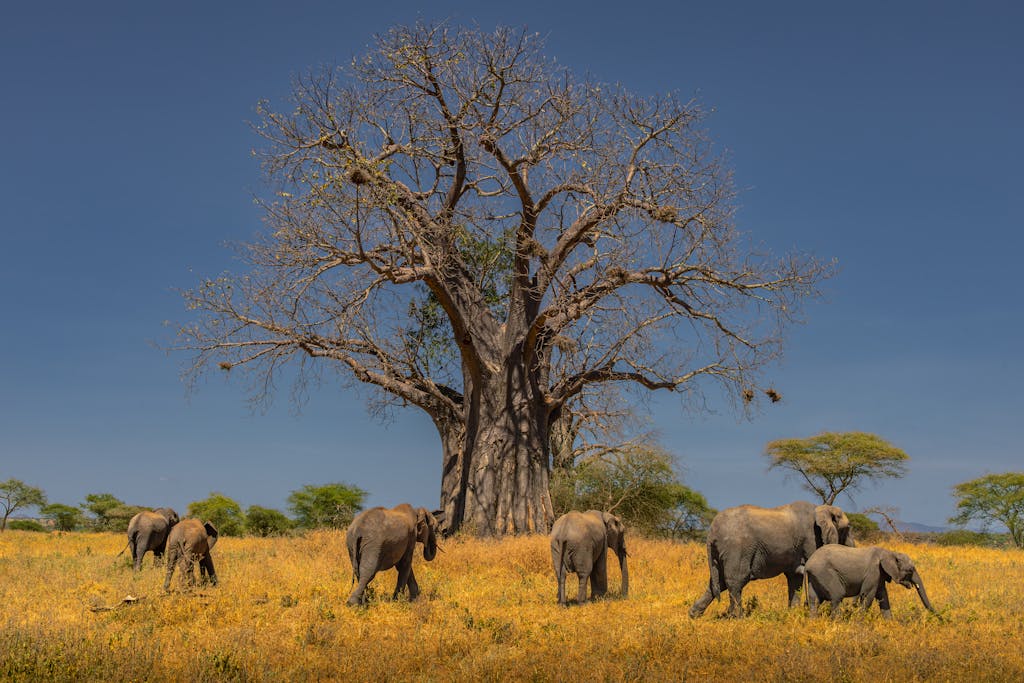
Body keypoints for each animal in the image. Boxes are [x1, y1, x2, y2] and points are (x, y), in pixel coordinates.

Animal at [688, 499, 856, 618]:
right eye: (847, 528)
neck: (822, 508)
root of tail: (711, 532)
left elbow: (795, 578)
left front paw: (793, 615)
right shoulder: (811, 539)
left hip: (722, 552)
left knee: (718, 582)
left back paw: (693, 615)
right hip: (737, 548)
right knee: (736, 580)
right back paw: (737, 617)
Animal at [802, 544, 937, 618]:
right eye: (910, 570)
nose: (940, 618)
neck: (890, 552)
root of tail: (808, 564)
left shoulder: (880, 574)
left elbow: (883, 597)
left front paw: (890, 624)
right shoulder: (873, 571)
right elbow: (867, 596)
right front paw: (859, 624)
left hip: (815, 577)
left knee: (814, 601)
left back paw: (813, 621)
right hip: (826, 574)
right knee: (837, 596)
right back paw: (838, 622)